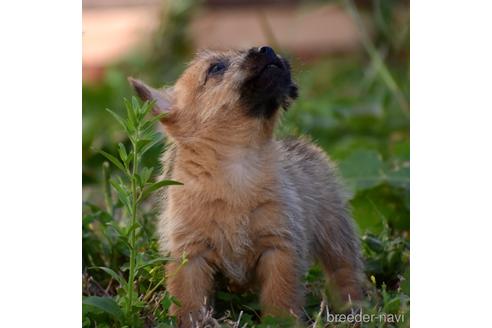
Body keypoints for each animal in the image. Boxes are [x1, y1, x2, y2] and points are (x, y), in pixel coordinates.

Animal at [129, 46, 364, 326]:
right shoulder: (190, 254)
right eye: (216, 68)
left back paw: (355, 308)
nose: (268, 49)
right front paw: (190, 321)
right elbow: (188, 301)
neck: (237, 167)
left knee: (344, 270)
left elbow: (280, 297)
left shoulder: (279, 247)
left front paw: (280, 323)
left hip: (334, 231)